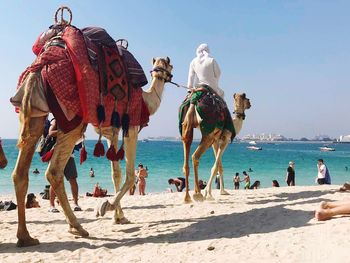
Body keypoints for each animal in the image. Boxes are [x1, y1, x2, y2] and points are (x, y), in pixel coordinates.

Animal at [11, 55, 173, 248]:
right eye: (170, 65)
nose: (168, 74)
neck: (146, 101)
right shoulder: (131, 129)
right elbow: (129, 176)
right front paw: (106, 207)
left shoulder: (111, 133)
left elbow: (115, 174)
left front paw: (119, 217)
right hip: (71, 117)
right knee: (54, 172)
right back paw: (77, 228)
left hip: (35, 113)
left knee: (20, 172)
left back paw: (26, 237)